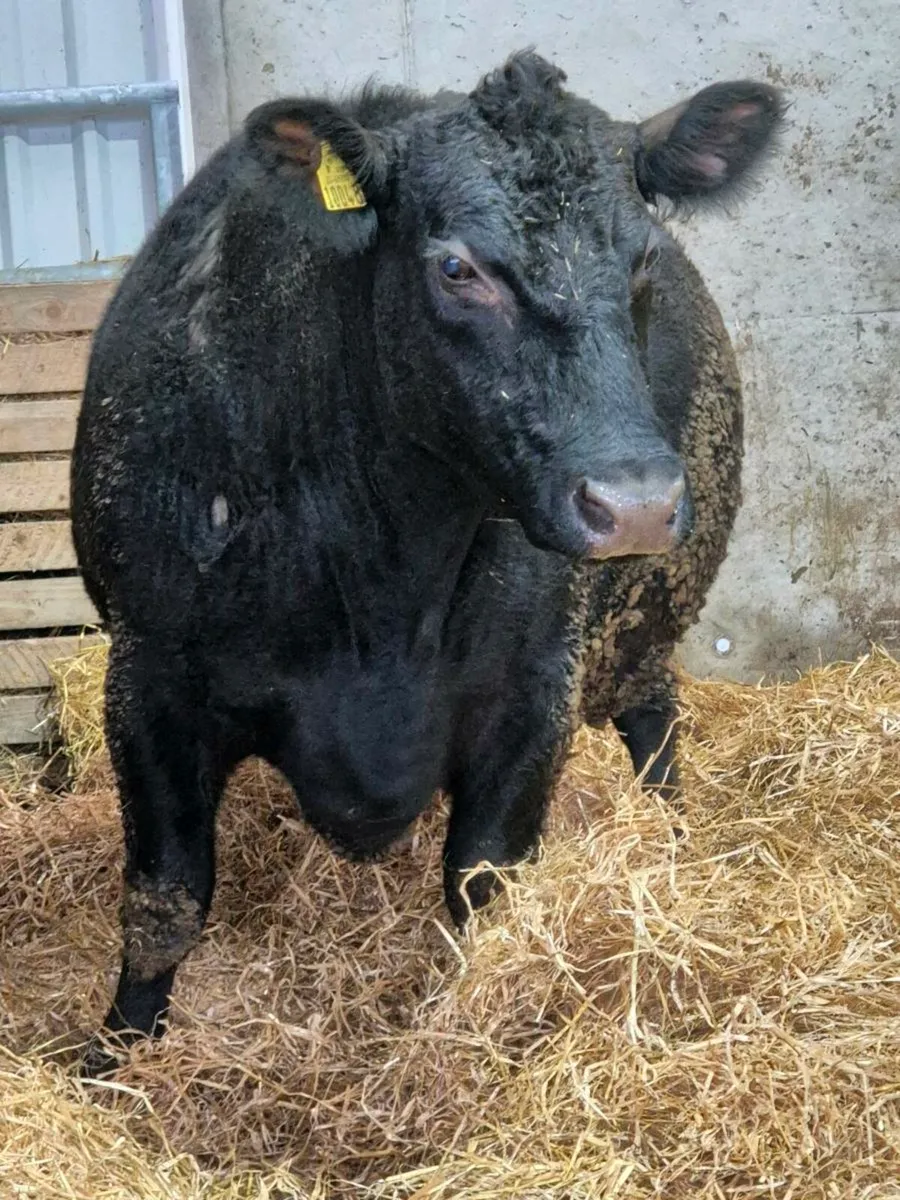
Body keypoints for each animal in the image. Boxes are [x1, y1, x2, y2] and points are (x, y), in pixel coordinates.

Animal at [70, 50, 783, 1071]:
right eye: (456, 267)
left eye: (644, 257)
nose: (635, 501)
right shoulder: (147, 679)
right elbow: (165, 900)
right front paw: (119, 1059)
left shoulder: (535, 689)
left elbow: (484, 886)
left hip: (640, 622)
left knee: (655, 726)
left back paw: (677, 847)